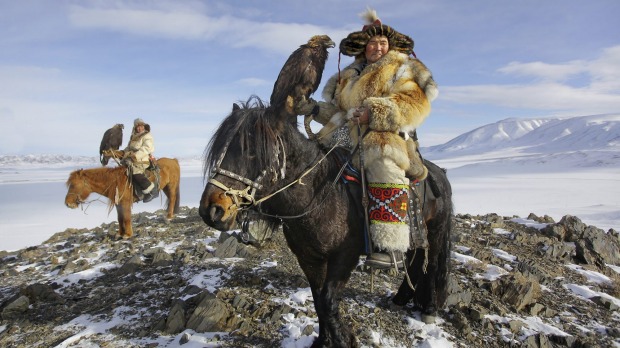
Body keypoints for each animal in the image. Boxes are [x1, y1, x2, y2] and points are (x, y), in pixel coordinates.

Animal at [201, 96, 452, 346]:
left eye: (252, 151)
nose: (211, 211)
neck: (318, 195)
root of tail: (439, 172)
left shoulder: (344, 258)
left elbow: (329, 302)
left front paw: (344, 339)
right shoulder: (309, 259)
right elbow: (318, 300)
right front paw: (323, 341)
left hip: (436, 231)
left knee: (432, 266)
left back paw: (429, 309)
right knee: (415, 262)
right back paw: (401, 298)